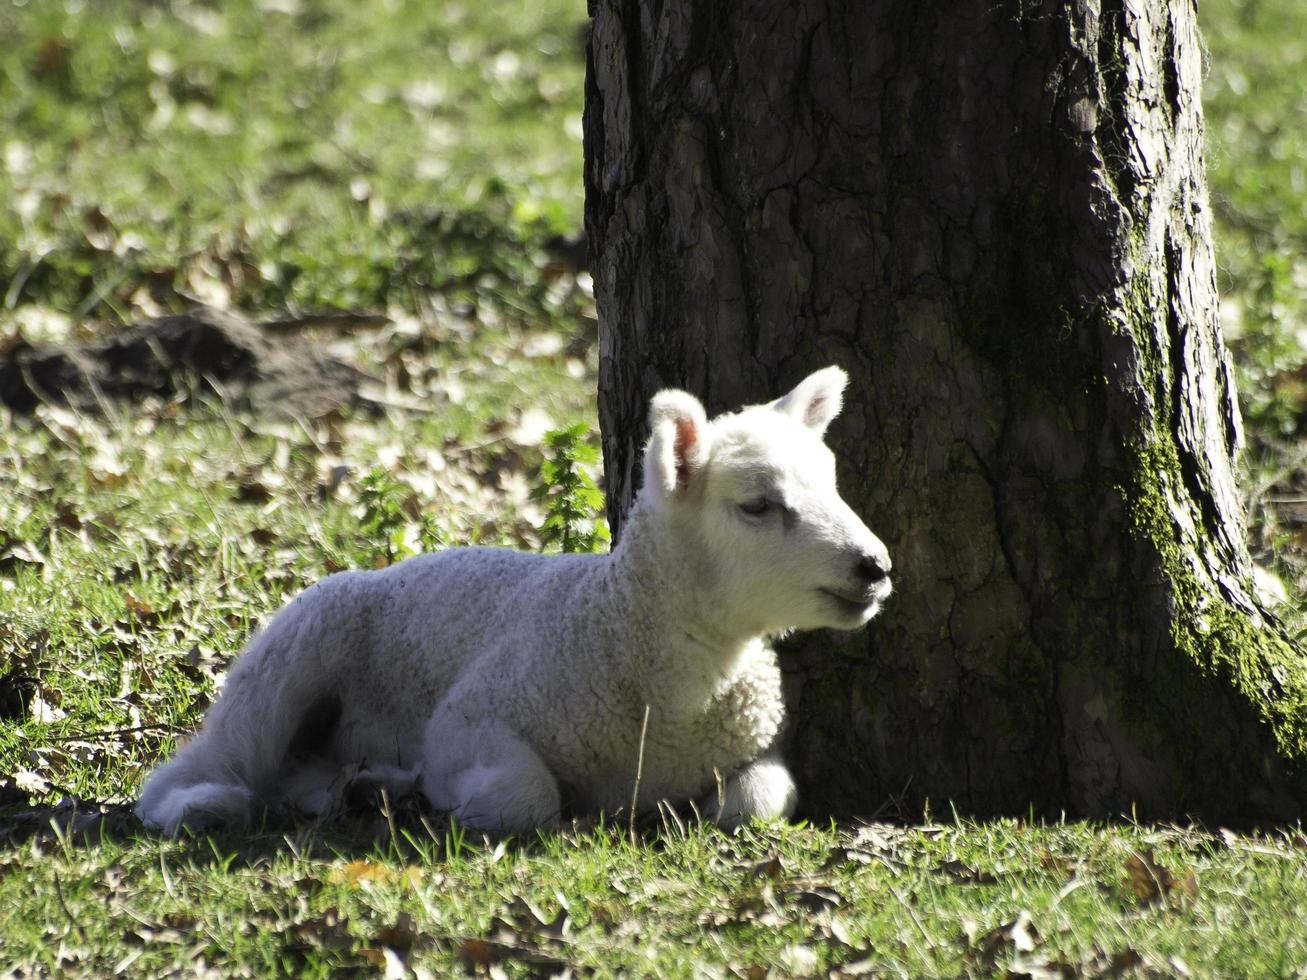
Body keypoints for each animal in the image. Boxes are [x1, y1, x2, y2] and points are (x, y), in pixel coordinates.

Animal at [137, 368, 893, 836]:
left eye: (831, 483)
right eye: (757, 506)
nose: (876, 567)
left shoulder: (754, 743)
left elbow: (761, 800)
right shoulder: (468, 717)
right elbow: (525, 796)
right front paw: (457, 801)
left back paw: (361, 786)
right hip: (293, 653)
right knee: (216, 755)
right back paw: (201, 806)